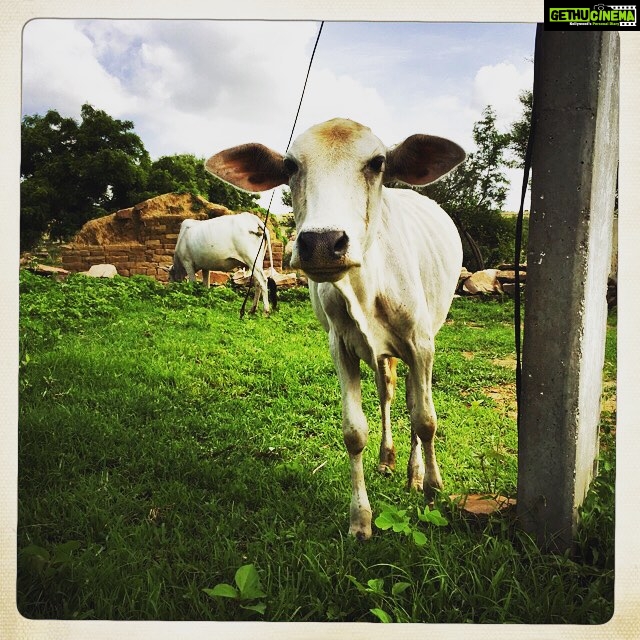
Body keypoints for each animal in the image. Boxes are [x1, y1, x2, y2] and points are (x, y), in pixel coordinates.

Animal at [205, 118, 465, 539]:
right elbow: (354, 432)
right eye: (290, 165)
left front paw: (431, 492)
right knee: (388, 393)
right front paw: (360, 519)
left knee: (412, 402)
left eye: (378, 162)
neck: (366, 287)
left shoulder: (422, 344)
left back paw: (413, 472)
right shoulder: (341, 347)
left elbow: (425, 419)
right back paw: (388, 458)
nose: (323, 242)